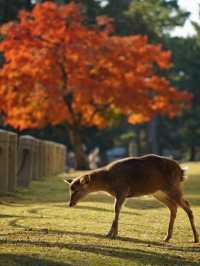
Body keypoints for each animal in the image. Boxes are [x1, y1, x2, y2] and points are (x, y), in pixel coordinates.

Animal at [65, 154, 199, 243]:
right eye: (70, 189)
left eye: (77, 190)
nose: (70, 204)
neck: (109, 182)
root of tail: (181, 171)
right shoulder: (120, 194)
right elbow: (116, 210)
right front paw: (110, 233)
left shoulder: (123, 190)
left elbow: (116, 210)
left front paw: (113, 234)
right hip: (158, 192)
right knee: (174, 207)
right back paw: (167, 237)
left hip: (173, 187)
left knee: (187, 206)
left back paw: (195, 238)